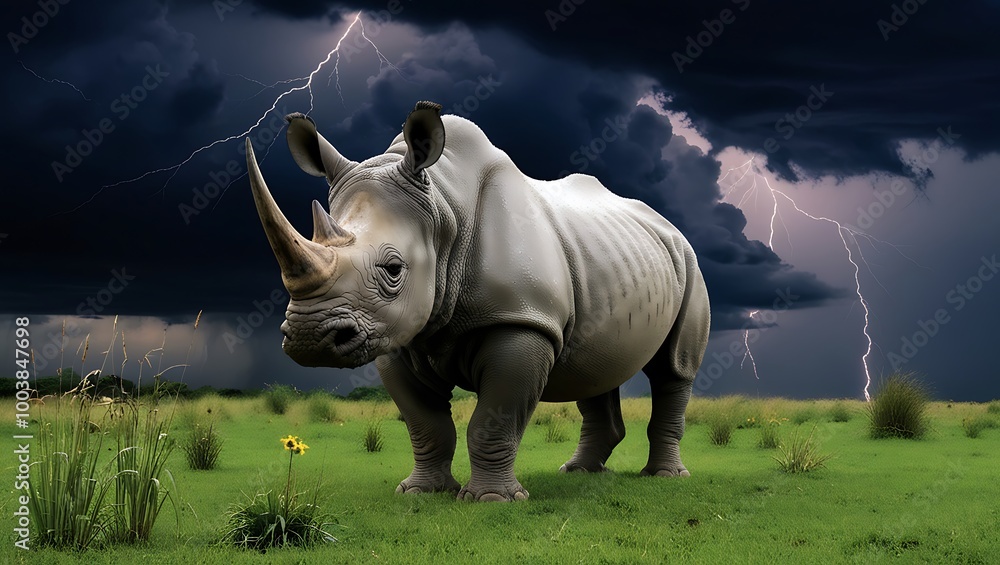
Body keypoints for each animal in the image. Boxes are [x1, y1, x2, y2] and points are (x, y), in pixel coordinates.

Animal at [246, 101, 711, 501]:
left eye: (394, 269)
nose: (309, 339)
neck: (443, 208)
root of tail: (668, 225)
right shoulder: (395, 333)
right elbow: (425, 423)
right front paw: (422, 493)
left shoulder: (522, 319)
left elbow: (493, 419)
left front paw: (492, 500)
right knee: (594, 364)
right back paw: (578, 472)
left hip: (688, 261)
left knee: (673, 369)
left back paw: (665, 477)